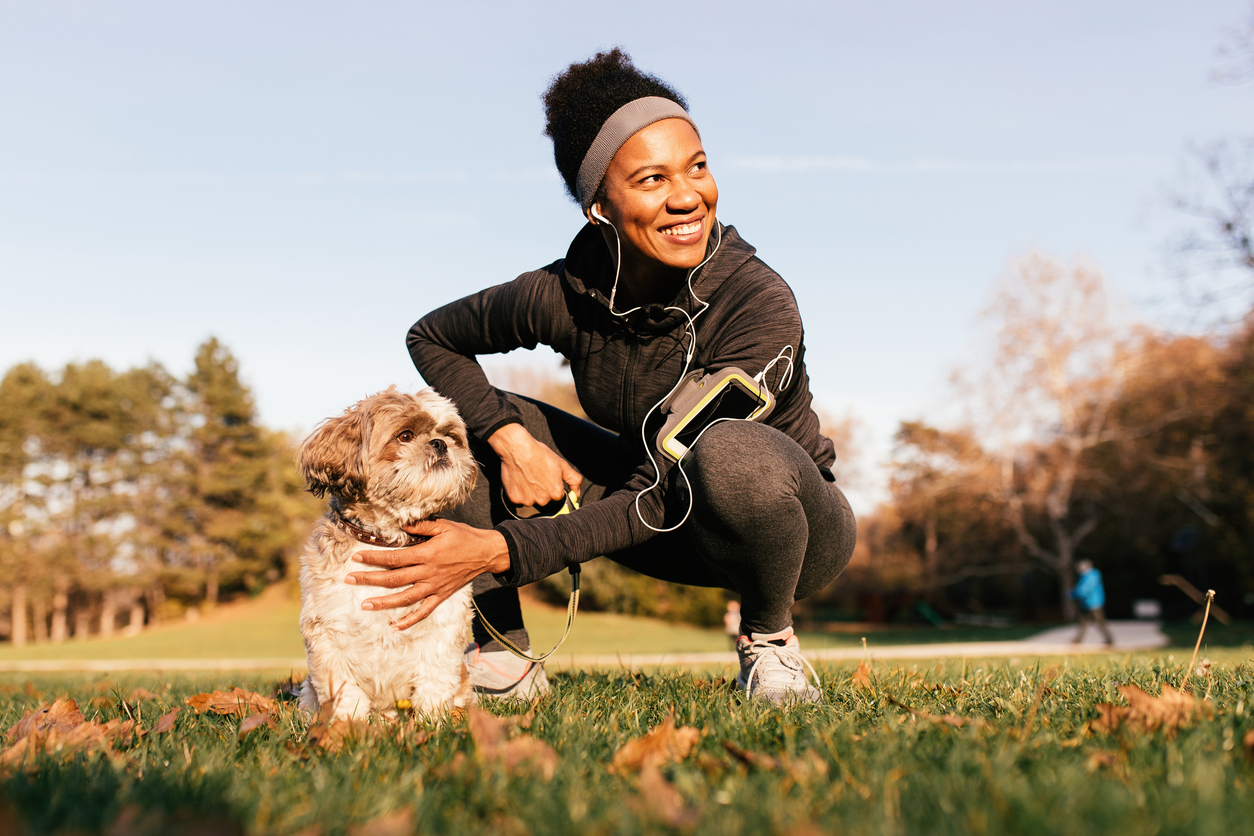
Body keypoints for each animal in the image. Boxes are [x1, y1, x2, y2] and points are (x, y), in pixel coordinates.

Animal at [293, 386, 479, 721]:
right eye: (405, 436)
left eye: (449, 434)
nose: (440, 443)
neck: (384, 541)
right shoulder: (329, 636)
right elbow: (344, 694)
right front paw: (348, 728)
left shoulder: (441, 630)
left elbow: (434, 683)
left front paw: (433, 723)